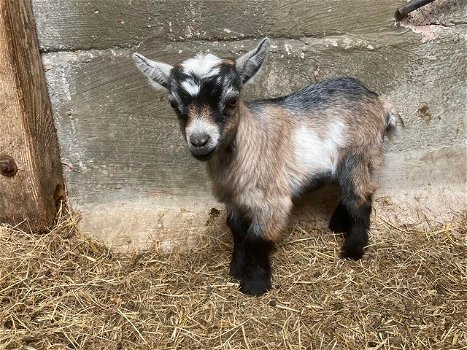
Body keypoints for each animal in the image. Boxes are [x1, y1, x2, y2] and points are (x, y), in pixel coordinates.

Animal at [133, 37, 400, 296]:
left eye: (232, 101)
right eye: (174, 104)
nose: (200, 141)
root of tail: (379, 101)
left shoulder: (273, 201)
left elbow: (257, 238)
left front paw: (255, 285)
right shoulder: (233, 198)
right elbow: (237, 230)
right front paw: (236, 270)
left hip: (358, 155)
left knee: (361, 195)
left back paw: (352, 250)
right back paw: (337, 226)